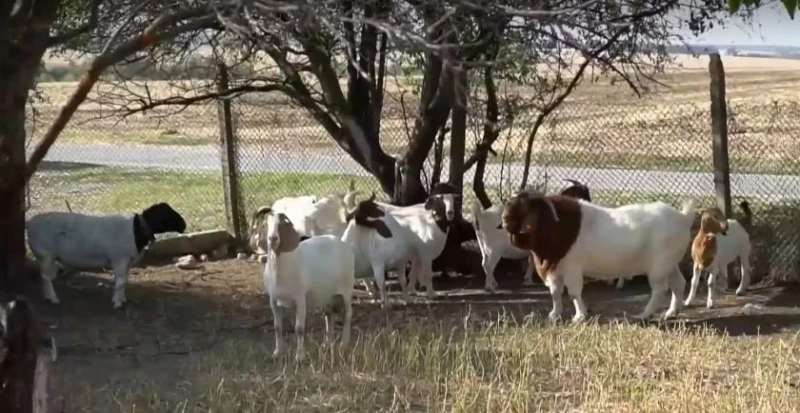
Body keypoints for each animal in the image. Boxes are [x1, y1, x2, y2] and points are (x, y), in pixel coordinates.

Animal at [27, 201, 187, 308]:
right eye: (168, 214)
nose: (184, 225)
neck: (136, 230)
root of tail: (29, 223)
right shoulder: (119, 259)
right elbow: (121, 281)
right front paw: (117, 303)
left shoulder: (127, 262)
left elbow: (124, 281)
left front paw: (122, 299)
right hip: (46, 253)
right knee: (46, 277)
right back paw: (53, 298)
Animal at [255, 206, 354, 360]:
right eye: (266, 225)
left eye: (281, 224)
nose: (273, 239)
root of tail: (344, 243)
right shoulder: (273, 301)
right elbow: (277, 327)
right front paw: (277, 352)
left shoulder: (300, 299)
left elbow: (299, 328)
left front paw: (300, 356)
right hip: (327, 294)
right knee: (329, 314)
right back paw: (327, 344)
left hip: (347, 290)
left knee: (347, 315)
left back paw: (343, 345)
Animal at [504, 193, 696, 322]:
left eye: (525, 207)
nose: (504, 220)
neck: (556, 225)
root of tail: (684, 217)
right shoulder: (556, 268)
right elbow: (555, 292)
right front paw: (554, 314)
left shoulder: (572, 267)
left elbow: (574, 292)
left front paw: (579, 316)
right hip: (670, 264)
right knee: (678, 283)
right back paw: (671, 312)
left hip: (659, 267)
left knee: (660, 289)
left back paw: (644, 314)